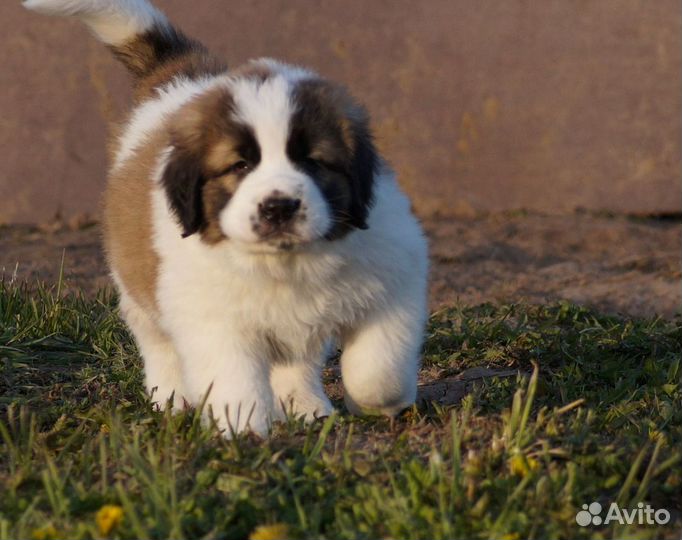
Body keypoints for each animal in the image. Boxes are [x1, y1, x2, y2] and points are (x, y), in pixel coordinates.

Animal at [23, 0, 428, 434]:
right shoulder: (211, 316)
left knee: (296, 360)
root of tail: (181, 77)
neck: (283, 264)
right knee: (158, 342)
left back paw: (304, 404)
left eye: (312, 162)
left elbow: (378, 365)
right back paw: (172, 398)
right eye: (239, 165)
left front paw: (380, 403)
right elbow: (235, 377)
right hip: (140, 287)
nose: (278, 207)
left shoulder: (393, 275)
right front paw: (243, 428)